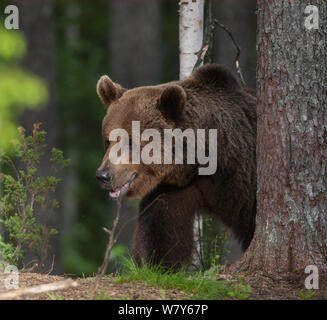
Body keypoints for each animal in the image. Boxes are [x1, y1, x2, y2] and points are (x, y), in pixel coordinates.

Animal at [95, 64, 256, 270]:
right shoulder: (175, 187)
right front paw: (155, 263)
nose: (103, 175)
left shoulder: (245, 172)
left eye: (131, 141)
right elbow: (161, 230)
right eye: (107, 140)